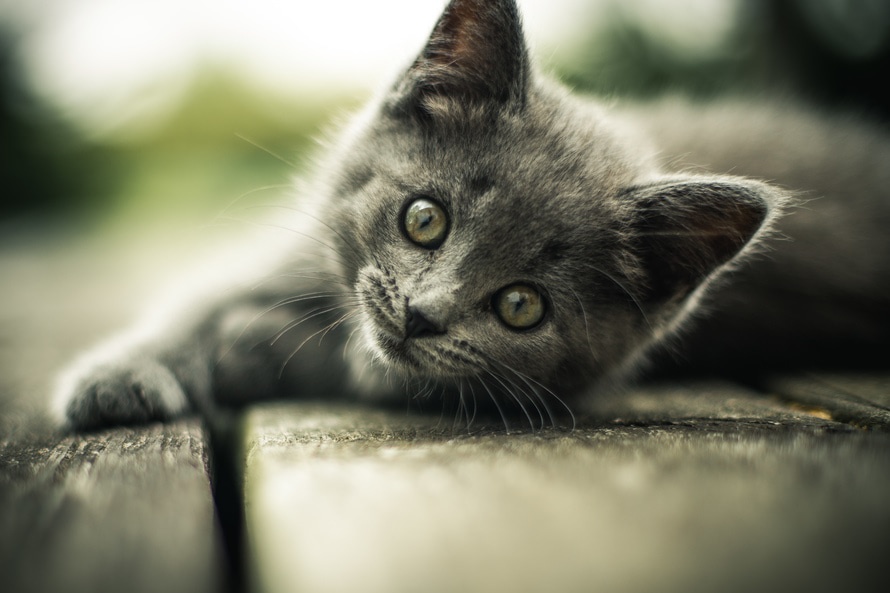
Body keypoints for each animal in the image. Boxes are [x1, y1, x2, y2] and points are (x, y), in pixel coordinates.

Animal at [53, 0, 888, 428]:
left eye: (521, 305)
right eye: (424, 219)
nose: (422, 314)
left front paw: (252, 346)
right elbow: (192, 304)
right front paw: (119, 376)